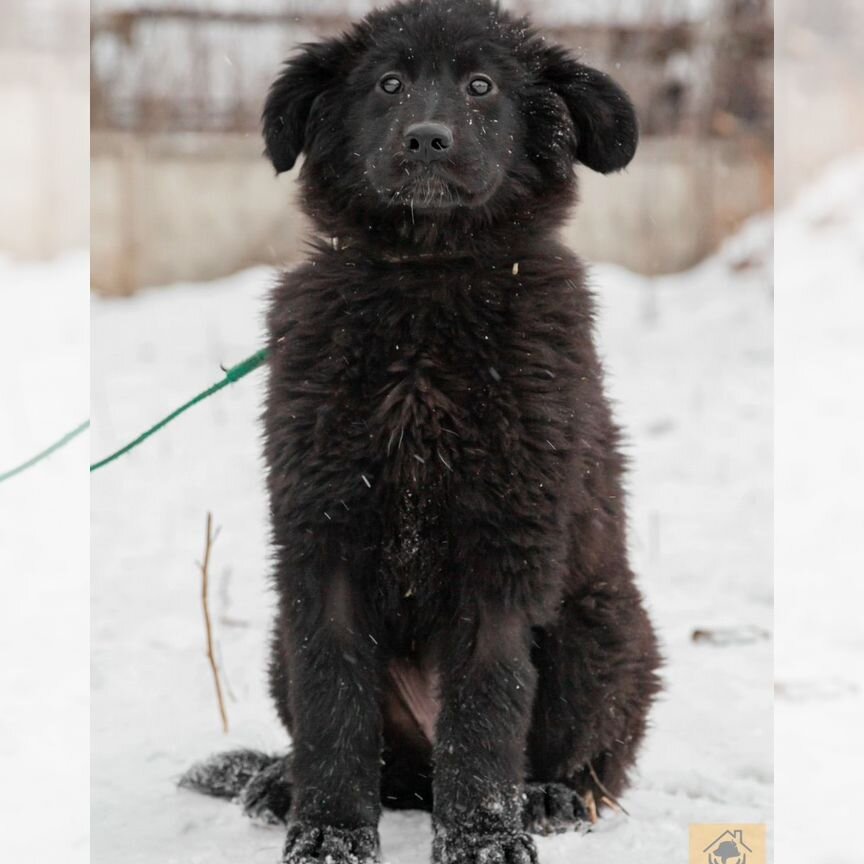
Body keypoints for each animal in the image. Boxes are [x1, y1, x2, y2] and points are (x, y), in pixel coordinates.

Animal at [181, 1, 656, 864]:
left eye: (481, 86)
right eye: (389, 84)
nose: (428, 139)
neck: (425, 289)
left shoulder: (506, 545)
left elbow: (485, 708)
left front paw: (482, 838)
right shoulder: (321, 535)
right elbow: (333, 703)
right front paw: (329, 832)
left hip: (603, 629)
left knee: (586, 760)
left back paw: (550, 797)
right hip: (279, 640)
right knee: (385, 766)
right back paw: (280, 783)